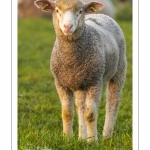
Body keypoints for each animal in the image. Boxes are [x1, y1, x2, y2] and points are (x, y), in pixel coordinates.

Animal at [34, 0, 126, 142]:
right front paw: (67, 138)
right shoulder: (61, 83)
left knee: (113, 102)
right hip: (79, 82)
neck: (71, 60)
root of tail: (100, 15)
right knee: (80, 106)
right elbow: (67, 113)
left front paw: (92, 141)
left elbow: (90, 114)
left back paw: (106, 136)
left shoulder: (95, 82)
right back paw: (82, 137)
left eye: (80, 11)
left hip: (119, 70)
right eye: (57, 10)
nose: (67, 27)